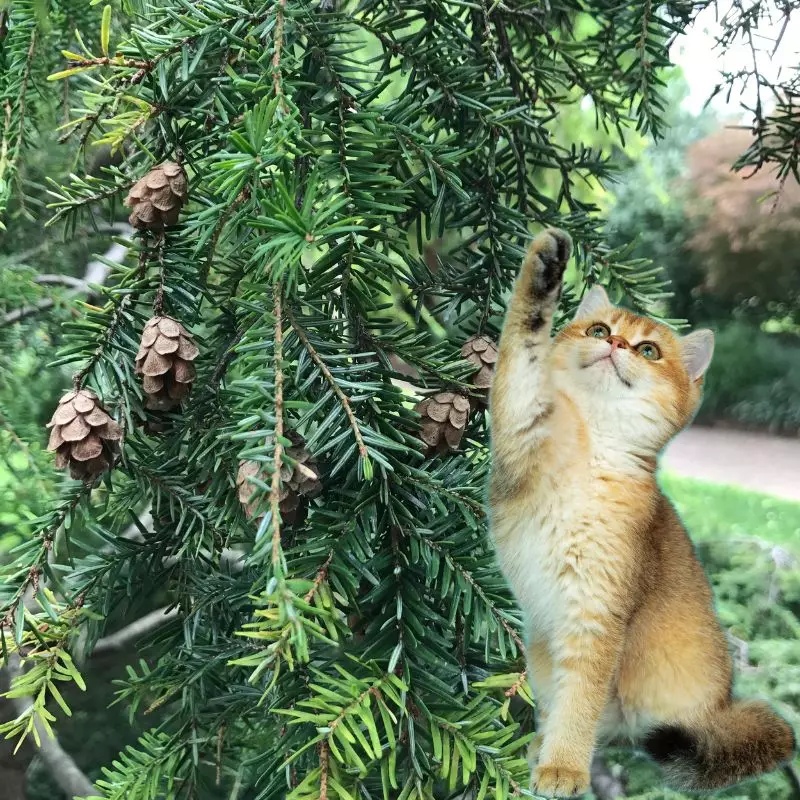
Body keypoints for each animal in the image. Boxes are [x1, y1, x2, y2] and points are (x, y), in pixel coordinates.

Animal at [488, 228, 792, 796]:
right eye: (599, 328)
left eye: (649, 350)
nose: (615, 345)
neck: (590, 447)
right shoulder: (521, 428)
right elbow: (521, 349)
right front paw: (543, 267)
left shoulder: (597, 615)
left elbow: (579, 702)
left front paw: (564, 768)